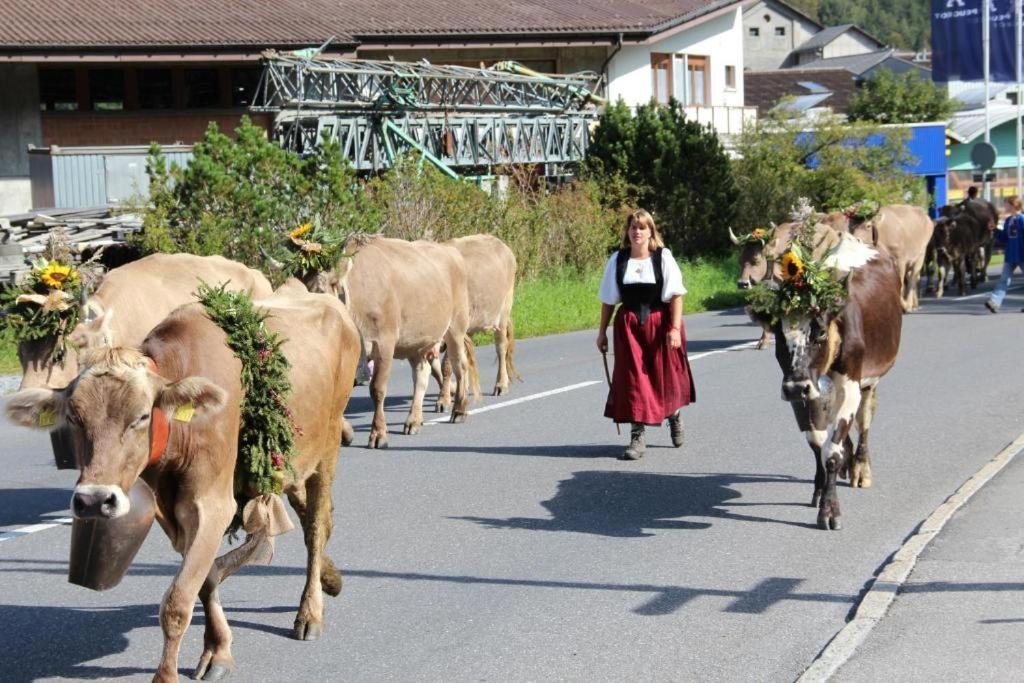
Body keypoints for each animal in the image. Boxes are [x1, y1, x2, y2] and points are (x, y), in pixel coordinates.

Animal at [4, 288, 360, 683]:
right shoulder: (175, 511)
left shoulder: (212, 503)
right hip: (290, 458)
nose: (95, 501)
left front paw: (168, 675)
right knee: (310, 514)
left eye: (142, 416)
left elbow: (177, 602)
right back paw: (331, 578)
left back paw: (310, 612)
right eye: (73, 417)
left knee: (316, 525)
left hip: (328, 443)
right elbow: (203, 580)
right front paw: (217, 649)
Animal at [303, 235, 479, 448]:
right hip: (416, 342)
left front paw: (378, 434)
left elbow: (377, 389)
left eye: (325, 289)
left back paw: (459, 410)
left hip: (455, 329)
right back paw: (414, 421)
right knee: (422, 374)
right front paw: (345, 433)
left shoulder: (384, 344)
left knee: (459, 366)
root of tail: (450, 251)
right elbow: (341, 393)